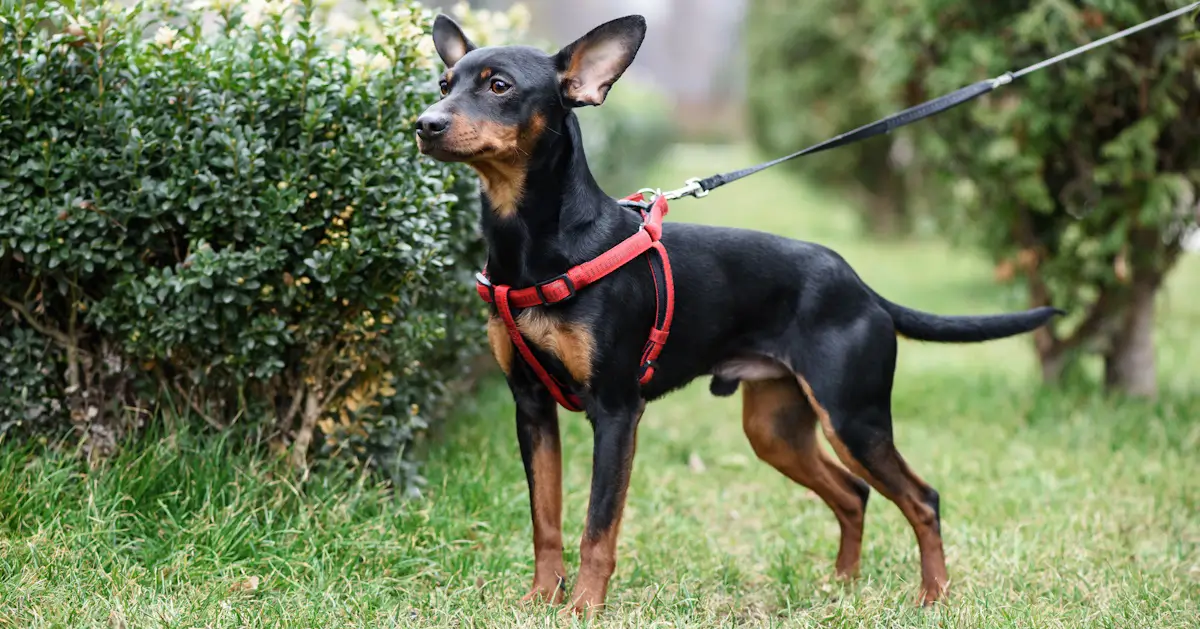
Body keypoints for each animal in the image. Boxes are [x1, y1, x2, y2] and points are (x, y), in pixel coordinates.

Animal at [412, 12, 1060, 614]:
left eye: (499, 86)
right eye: (444, 82)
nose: (425, 124)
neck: (535, 242)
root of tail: (860, 286)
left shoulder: (617, 412)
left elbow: (598, 527)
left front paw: (584, 609)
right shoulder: (532, 407)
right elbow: (545, 520)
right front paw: (541, 599)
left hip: (853, 417)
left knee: (922, 498)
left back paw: (933, 597)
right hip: (776, 428)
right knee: (854, 493)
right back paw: (842, 586)